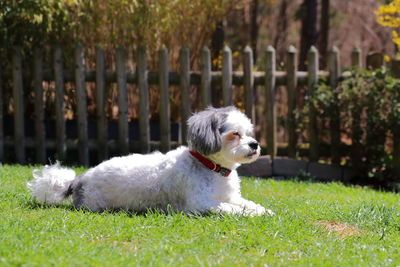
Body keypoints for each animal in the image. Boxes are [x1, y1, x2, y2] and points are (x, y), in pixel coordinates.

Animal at [26, 105, 274, 217]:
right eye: (235, 134)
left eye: (249, 133)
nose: (255, 144)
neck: (211, 167)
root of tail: (80, 179)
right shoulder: (201, 203)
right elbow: (230, 208)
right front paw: (252, 214)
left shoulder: (232, 195)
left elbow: (246, 203)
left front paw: (263, 210)